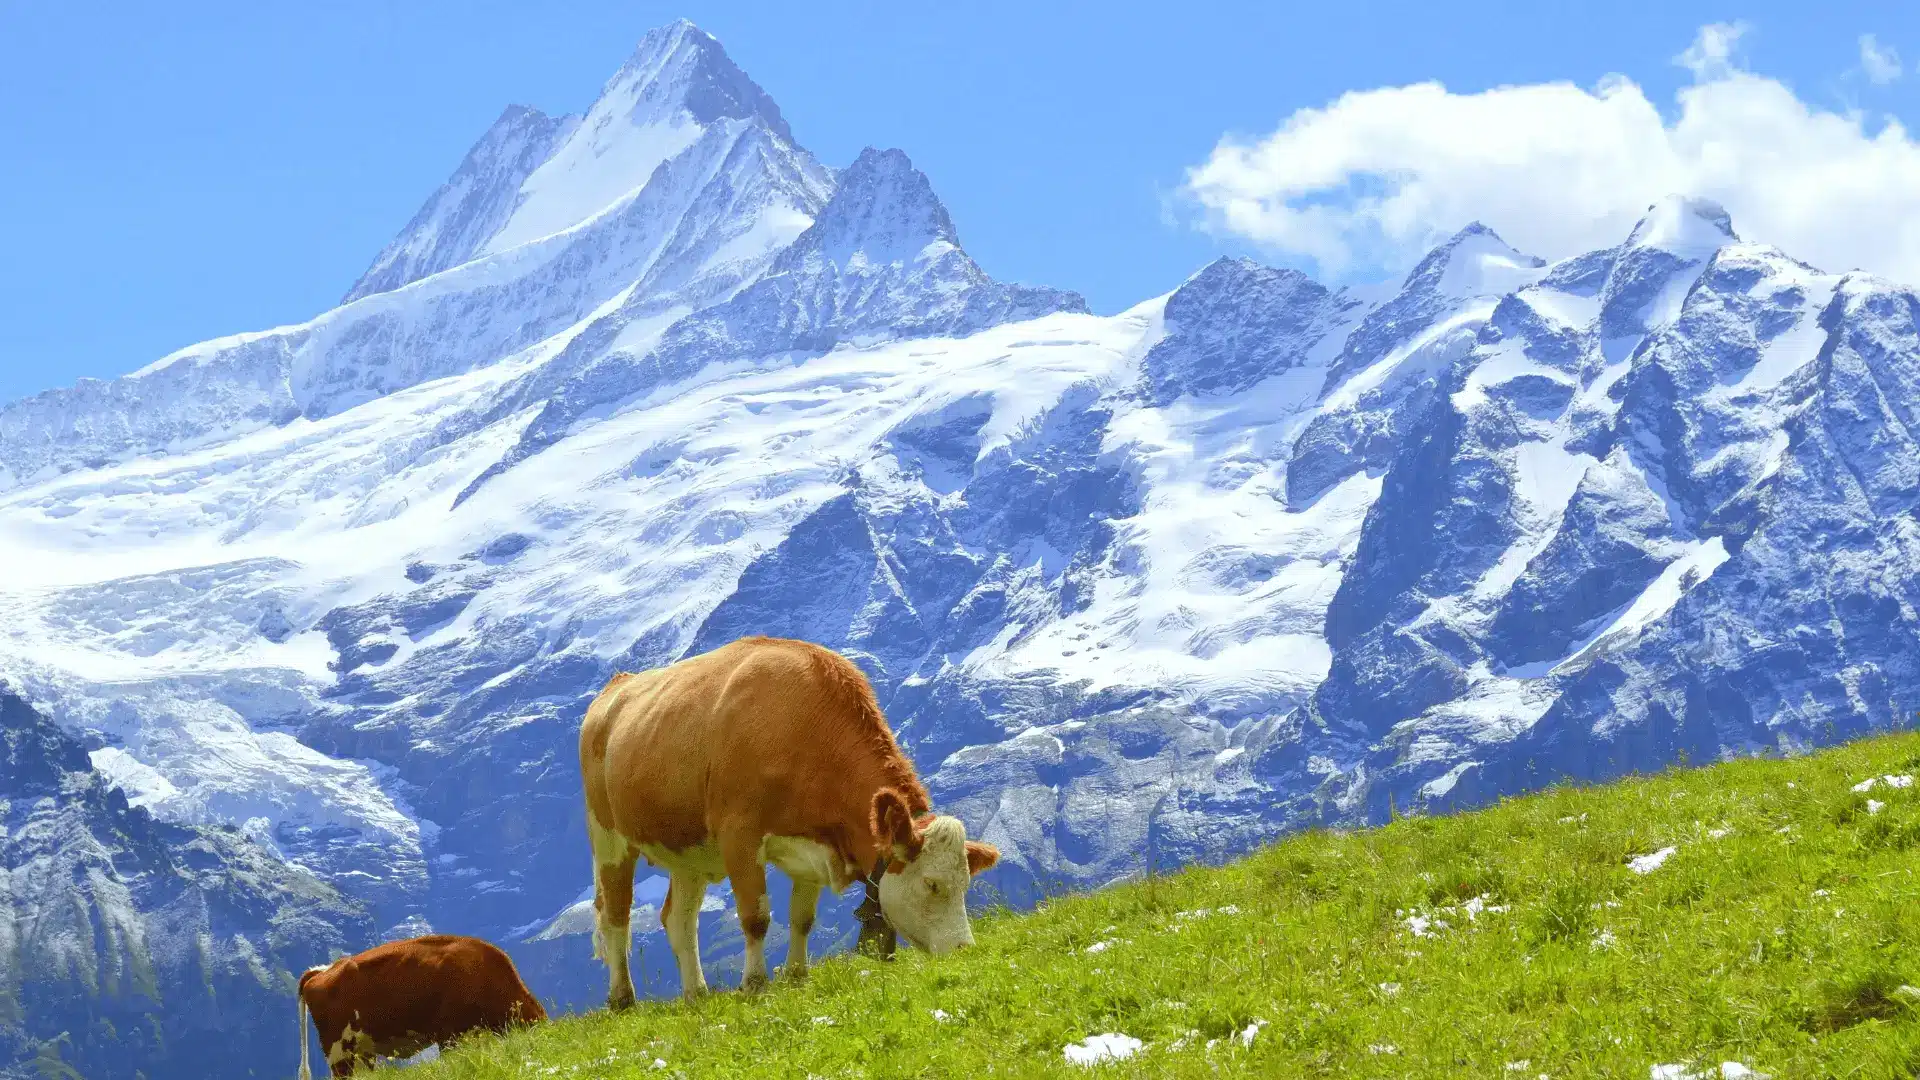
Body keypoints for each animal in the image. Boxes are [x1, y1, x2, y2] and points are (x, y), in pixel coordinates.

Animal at [579, 635, 1000, 1006]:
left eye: (966, 883)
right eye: (931, 884)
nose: (963, 949)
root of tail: (617, 685)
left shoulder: (815, 846)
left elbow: (802, 918)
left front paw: (797, 975)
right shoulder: (739, 835)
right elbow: (756, 917)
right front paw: (754, 984)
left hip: (687, 851)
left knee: (679, 920)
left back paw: (696, 994)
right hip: (608, 837)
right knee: (616, 916)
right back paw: (623, 998)